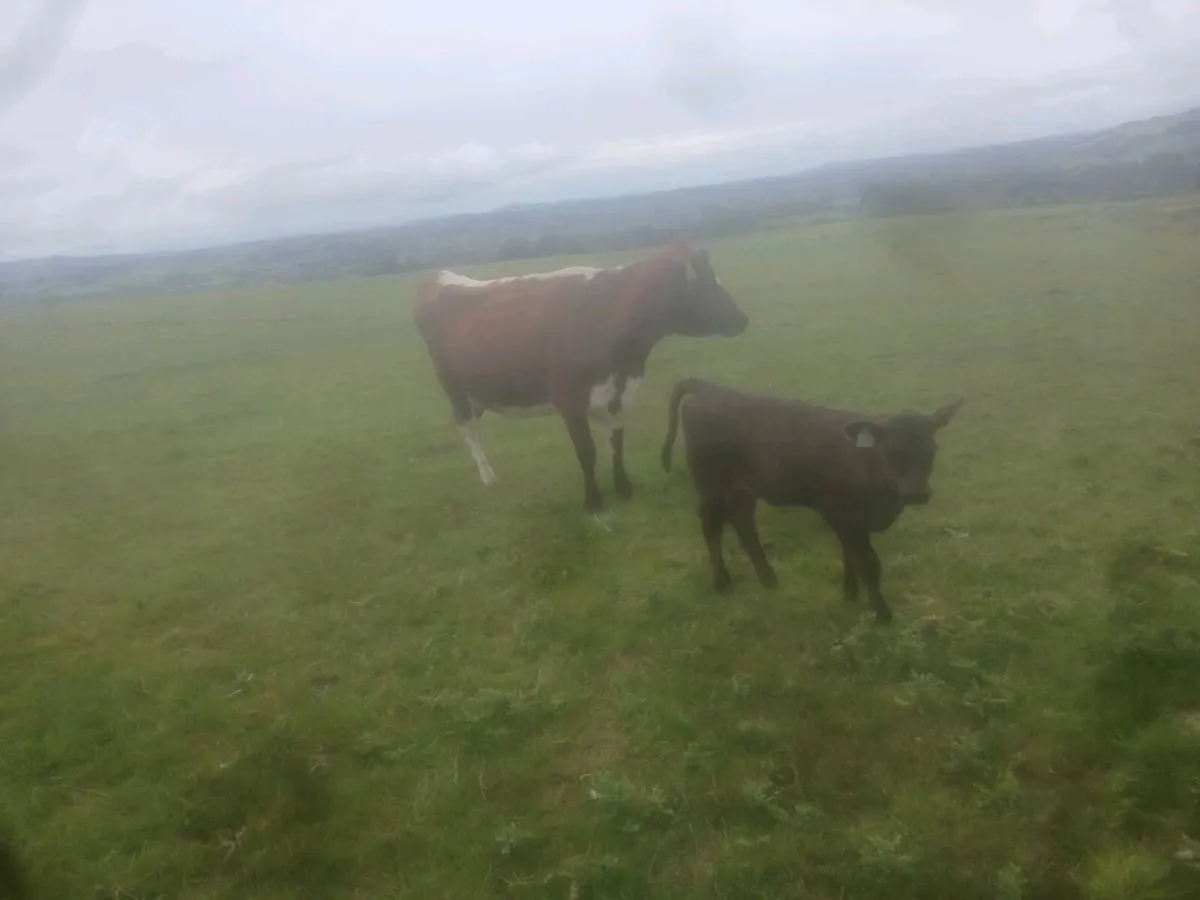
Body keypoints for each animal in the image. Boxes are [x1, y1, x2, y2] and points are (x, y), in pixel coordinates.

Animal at [413, 242, 749, 514]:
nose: (742, 319)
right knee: (467, 427)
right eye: (703, 283)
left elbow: (616, 444)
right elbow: (586, 453)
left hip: (479, 390)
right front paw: (593, 501)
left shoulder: (619, 395)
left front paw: (624, 488)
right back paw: (488, 476)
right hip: (453, 385)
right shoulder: (570, 402)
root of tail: (440, 277)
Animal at [659, 377, 963, 623]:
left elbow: (850, 556)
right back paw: (722, 583)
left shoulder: (852, 522)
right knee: (711, 527)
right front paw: (882, 614)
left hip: (741, 489)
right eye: (891, 451)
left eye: (932, 449)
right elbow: (869, 564)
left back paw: (768, 578)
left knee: (743, 524)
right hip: (709, 485)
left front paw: (850, 594)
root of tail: (709, 388)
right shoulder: (842, 515)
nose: (916, 493)